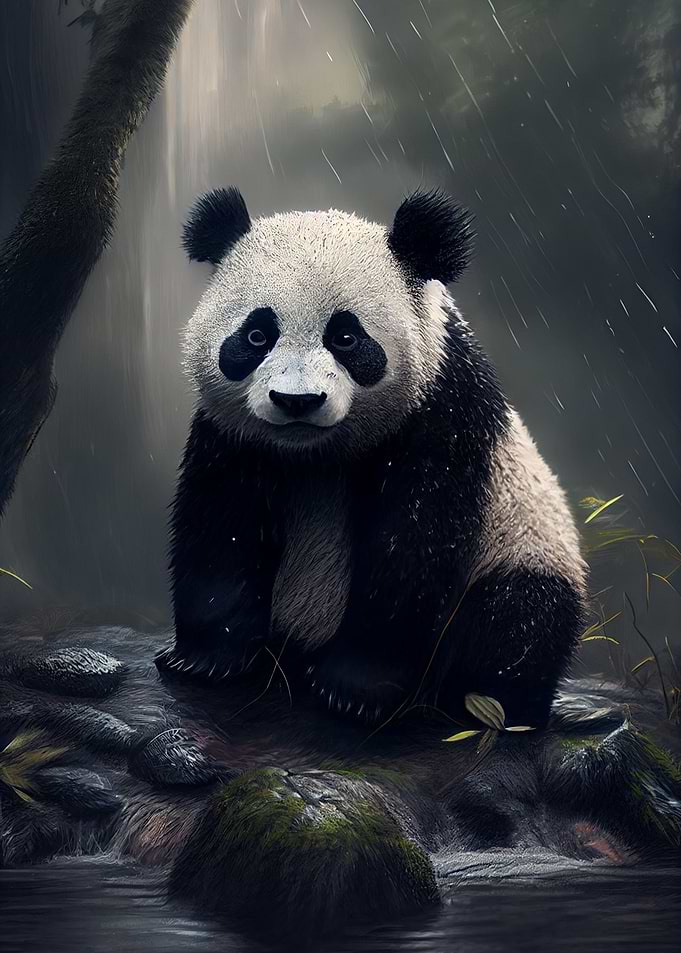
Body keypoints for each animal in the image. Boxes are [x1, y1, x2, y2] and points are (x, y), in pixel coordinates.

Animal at [155, 186, 588, 727]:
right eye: (257, 336)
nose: (296, 401)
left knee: (518, 620)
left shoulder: (440, 409)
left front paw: (353, 689)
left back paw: (485, 704)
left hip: (524, 544)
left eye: (346, 337)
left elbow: (412, 539)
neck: (317, 453)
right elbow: (222, 519)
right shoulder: (232, 433)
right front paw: (205, 659)